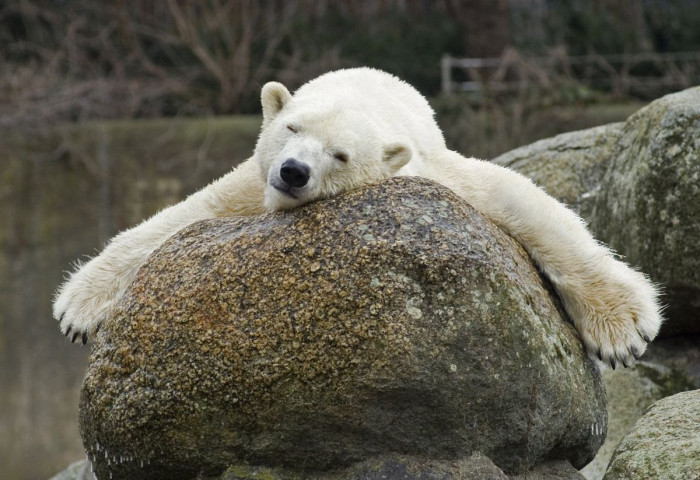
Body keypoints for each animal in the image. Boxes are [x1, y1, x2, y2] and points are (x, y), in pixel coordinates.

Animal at [54, 66, 660, 368]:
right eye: (292, 128)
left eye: (340, 155)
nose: (294, 171)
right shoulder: (253, 178)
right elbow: (186, 214)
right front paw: (78, 307)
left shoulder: (427, 168)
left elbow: (520, 199)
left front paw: (624, 327)